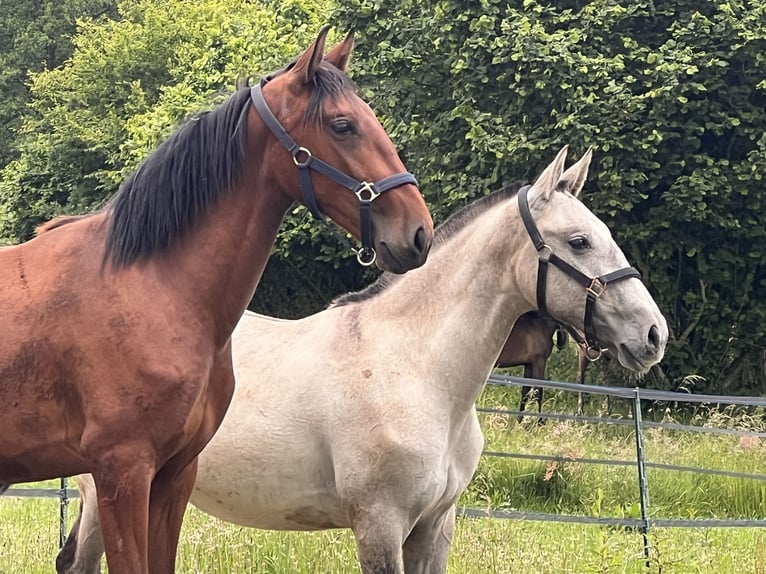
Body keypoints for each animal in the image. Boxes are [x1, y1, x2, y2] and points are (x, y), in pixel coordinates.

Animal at [55, 148, 664, 574]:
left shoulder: (434, 527)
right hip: (107, 492)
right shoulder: (379, 525)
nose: (653, 334)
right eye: (580, 241)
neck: (418, 369)